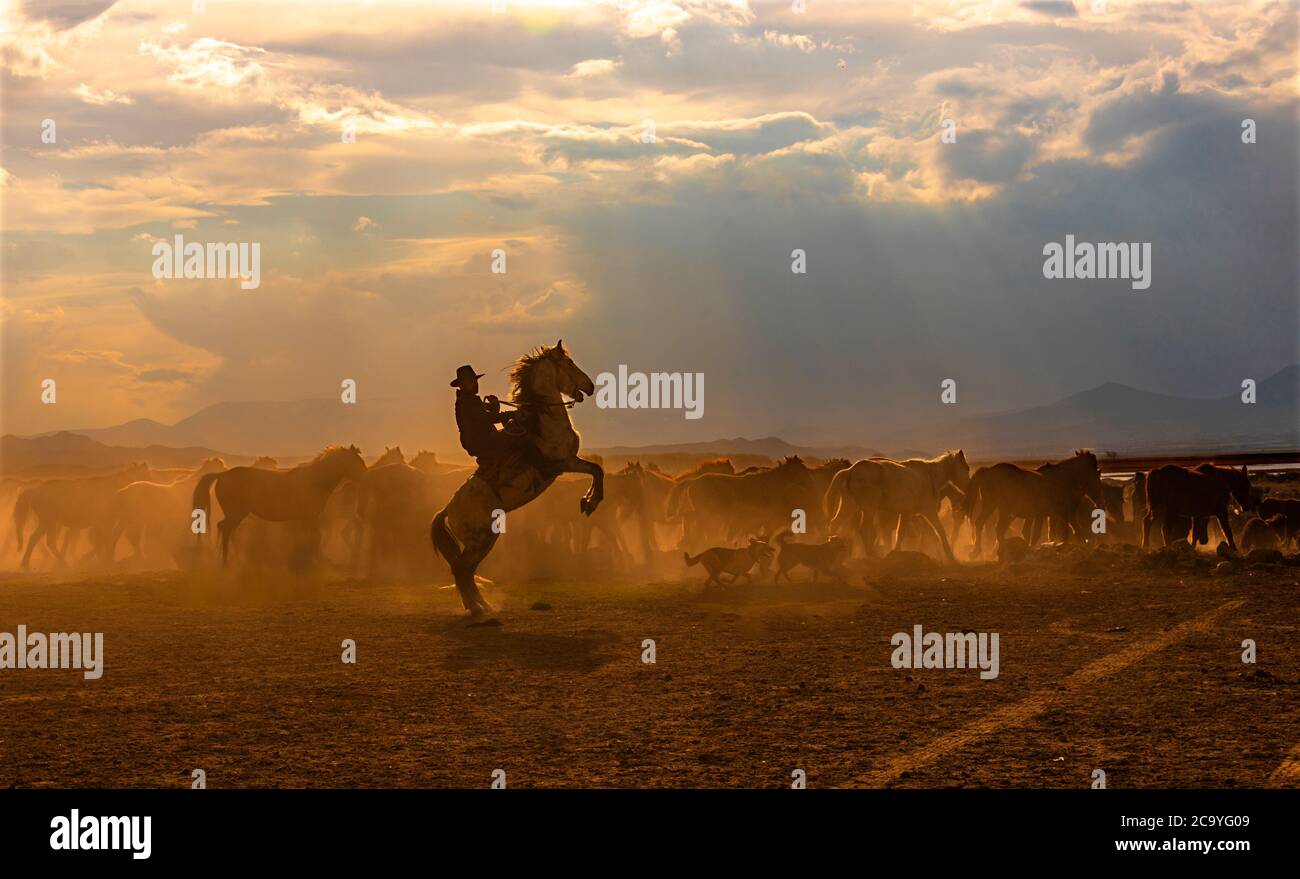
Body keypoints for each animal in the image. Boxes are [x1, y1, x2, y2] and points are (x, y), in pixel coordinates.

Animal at [431, 340, 603, 613]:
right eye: (569, 363)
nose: (590, 386)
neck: (543, 422)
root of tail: (448, 509)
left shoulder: (566, 462)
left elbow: (597, 470)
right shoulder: (562, 462)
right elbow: (597, 470)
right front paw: (589, 503)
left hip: (485, 540)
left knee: (466, 571)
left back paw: (482, 605)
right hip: (480, 540)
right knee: (460, 569)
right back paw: (477, 608)